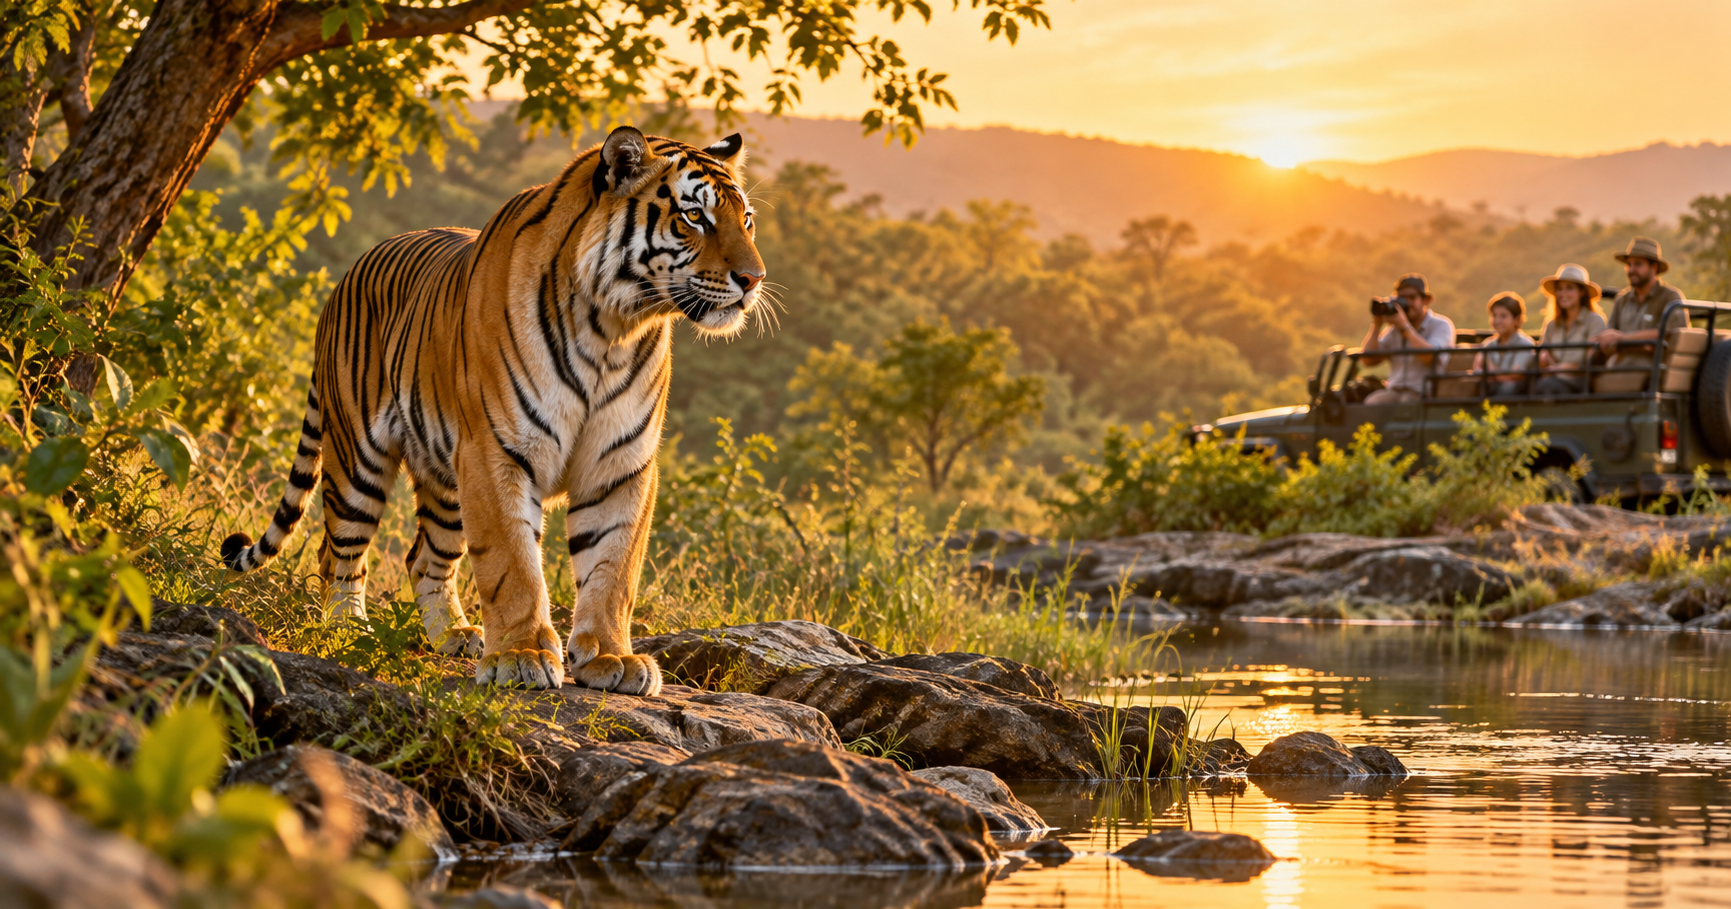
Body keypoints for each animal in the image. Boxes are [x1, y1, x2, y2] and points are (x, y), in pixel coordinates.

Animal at [220, 126, 764, 694]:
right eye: (694, 216)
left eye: (746, 219)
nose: (754, 278)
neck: (612, 328)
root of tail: (346, 277)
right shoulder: (495, 451)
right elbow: (512, 563)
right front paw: (521, 655)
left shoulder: (621, 464)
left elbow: (614, 568)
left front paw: (611, 657)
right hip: (357, 460)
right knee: (339, 552)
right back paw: (348, 629)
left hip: (445, 478)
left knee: (424, 558)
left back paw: (453, 634)